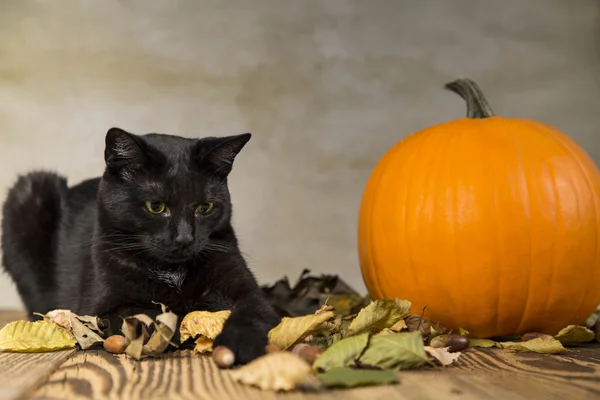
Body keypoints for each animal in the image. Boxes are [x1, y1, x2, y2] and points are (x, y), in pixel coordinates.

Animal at [0, 128, 282, 366]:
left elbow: (253, 312)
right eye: (155, 206)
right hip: (28, 191)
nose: (184, 238)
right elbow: (152, 313)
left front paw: (239, 342)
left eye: (205, 207)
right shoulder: (102, 307)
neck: (172, 270)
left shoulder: (245, 288)